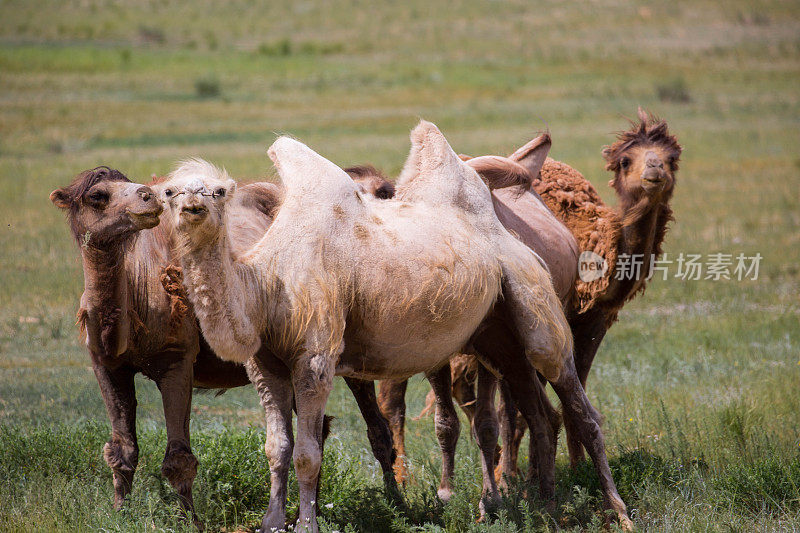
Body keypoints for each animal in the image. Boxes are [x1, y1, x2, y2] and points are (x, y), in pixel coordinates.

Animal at [49, 165, 400, 520]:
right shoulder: (107, 364)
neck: (137, 286)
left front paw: (190, 521)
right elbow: (122, 450)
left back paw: (397, 504)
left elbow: (178, 458)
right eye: (97, 195)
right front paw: (120, 513)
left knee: (377, 429)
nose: (147, 196)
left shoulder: (177, 359)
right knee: (319, 428)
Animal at [156, 120, 632, 532]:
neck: (268, 285)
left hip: (533, 300)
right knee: (539, 412)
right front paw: (272, 523)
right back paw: (545, 509)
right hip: (495, 334)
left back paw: (618, 512)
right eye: (169, 191)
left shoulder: (316, 356)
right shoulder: (266, 366)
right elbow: (277, 449)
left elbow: (308, 454)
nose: (193, 203)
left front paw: (306, 525)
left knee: (578, 404)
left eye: (219, 191)